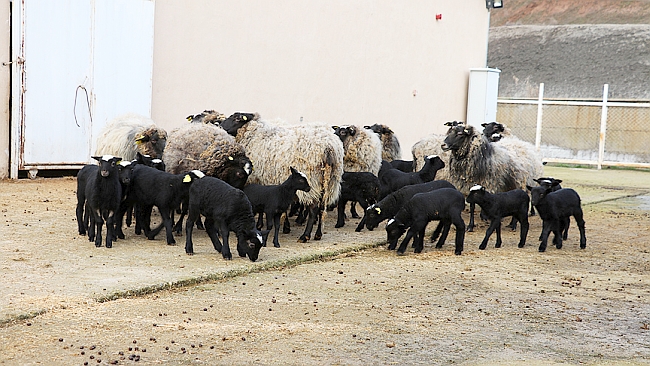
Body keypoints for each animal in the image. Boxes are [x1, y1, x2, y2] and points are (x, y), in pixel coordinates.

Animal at [219, 111, 344, 243]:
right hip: (329, 183)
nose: (220, 126)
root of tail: (329, 148)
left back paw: (305, 236)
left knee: (313, 209)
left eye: (237, 118)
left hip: (312, 184)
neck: (254, 135)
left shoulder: (257, 180)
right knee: (322, 208)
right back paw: (318, 234)